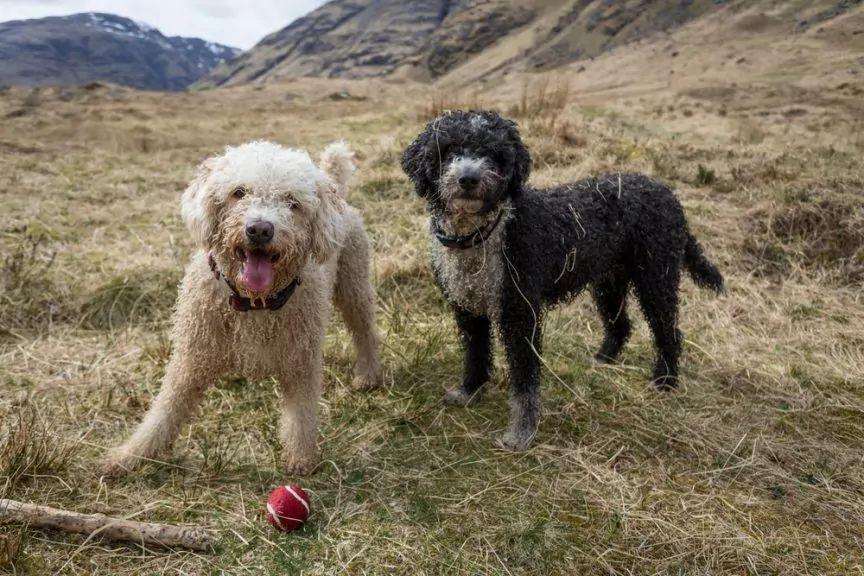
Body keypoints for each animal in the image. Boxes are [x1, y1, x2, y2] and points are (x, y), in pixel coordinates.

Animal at [103, 141, 380, 476]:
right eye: (239, 192)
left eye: (292, 203)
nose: (260, 229)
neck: (253, 304)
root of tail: (334, 182)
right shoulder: (189, 361)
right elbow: (163, 412)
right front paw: (129, 456)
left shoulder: (300, 364)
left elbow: (301, 417)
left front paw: (301, 460)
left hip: (353, 284)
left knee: (365, 330)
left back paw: (368, 374)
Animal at [402, 111, 724, 450]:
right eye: (448, 149)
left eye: (493, 153)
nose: (468, 179)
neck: (484, 234)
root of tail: (668, 194)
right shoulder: (468, 310)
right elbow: (475, 355)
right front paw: (470, 391)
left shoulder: (520, 313)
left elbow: (525, 380)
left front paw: (521, 432)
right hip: (609, 283)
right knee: (621, 325)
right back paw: (603, 359)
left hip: (656, 278)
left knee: (668, 332)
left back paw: (665, 380)